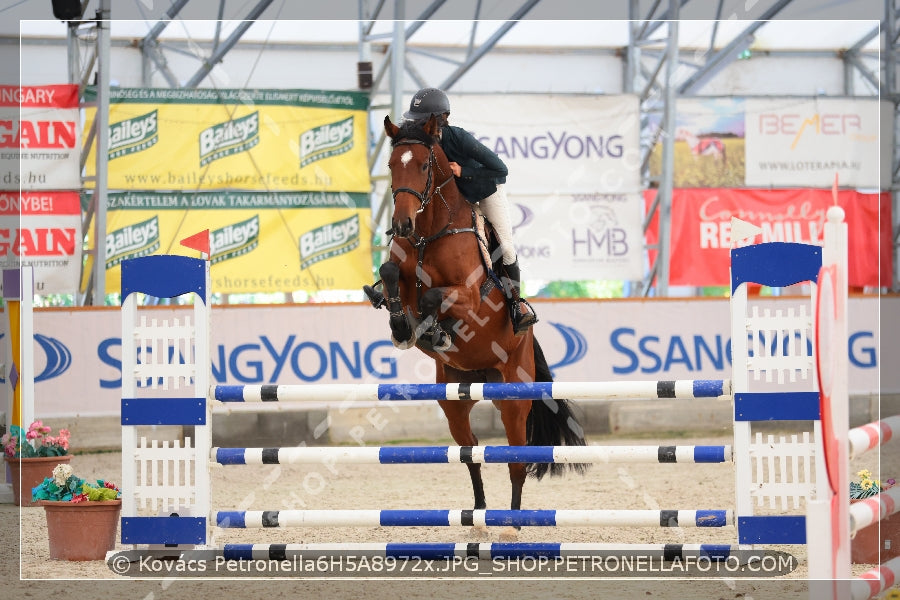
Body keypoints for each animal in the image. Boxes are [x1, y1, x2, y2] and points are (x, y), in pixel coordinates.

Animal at [370, 115, 588, 540]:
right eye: (390, 165)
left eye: (424, 165)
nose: (401, 225)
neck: (429, 232)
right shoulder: (400, 276)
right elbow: (391, 276)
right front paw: (403, 328)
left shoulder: (469, 297)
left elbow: (433, 297)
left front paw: (433, 329)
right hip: (454, 398)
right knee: (471, 452)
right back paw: (478, 518)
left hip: (514, 397)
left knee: (516, 458)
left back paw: (512, 526)